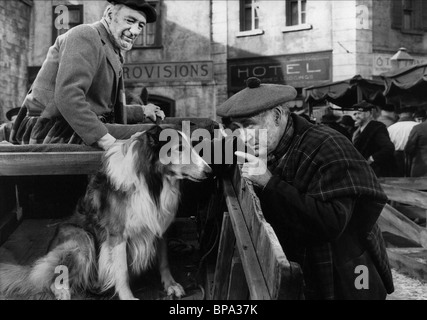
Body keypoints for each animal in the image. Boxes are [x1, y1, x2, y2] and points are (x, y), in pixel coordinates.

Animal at [0, 125, 213, 300]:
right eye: (179, 148)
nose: (210, 172)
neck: (151, 182)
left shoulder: (159, 225)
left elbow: (164, 261)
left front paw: (171, 285)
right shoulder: (117, 235)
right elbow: (121, 271)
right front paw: (128, 297)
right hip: (81, 239)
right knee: (53, 277)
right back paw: (63, 292)